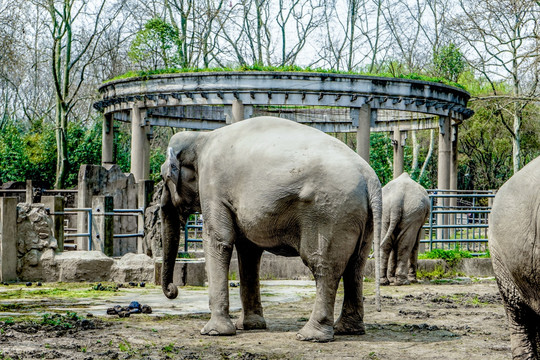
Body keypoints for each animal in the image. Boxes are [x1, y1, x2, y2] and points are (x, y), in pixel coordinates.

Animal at [158, 116, 382, 342]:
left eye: (163, 178)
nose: (172, 290)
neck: (200, 137)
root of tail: (369, 178)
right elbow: (248, 251)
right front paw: (250, 326)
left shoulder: (213, 188)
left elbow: (219, 241)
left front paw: (214, 332)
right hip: (360, 217)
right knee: (356, 265)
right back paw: (348, 329)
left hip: (329, 212)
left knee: (323, 266)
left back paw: (309, 335)